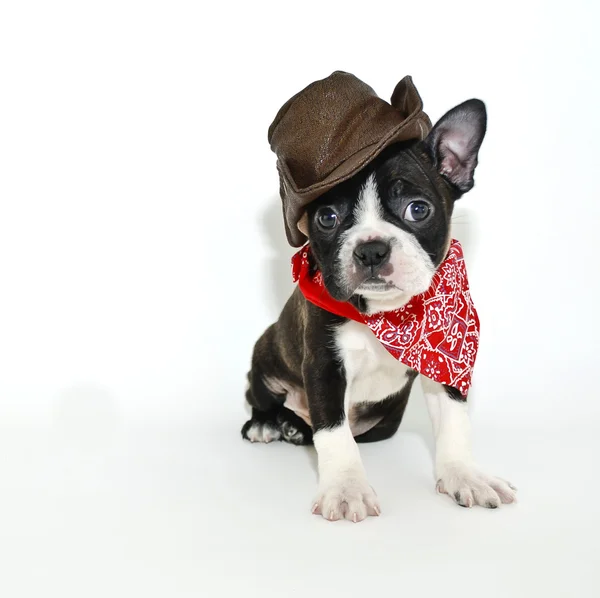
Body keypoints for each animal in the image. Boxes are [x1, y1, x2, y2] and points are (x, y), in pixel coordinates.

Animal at [239, 101, 516, 524]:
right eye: (327, 218)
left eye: (418, 209)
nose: (370, 249)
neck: (386, 316)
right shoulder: (324, 365)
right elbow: (334, 432)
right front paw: (346, 488)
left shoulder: (444, 360)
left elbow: (454, 422)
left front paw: (465, 476)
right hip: (265, 357)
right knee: (264, 399)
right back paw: (271, 425)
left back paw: (294, 429)